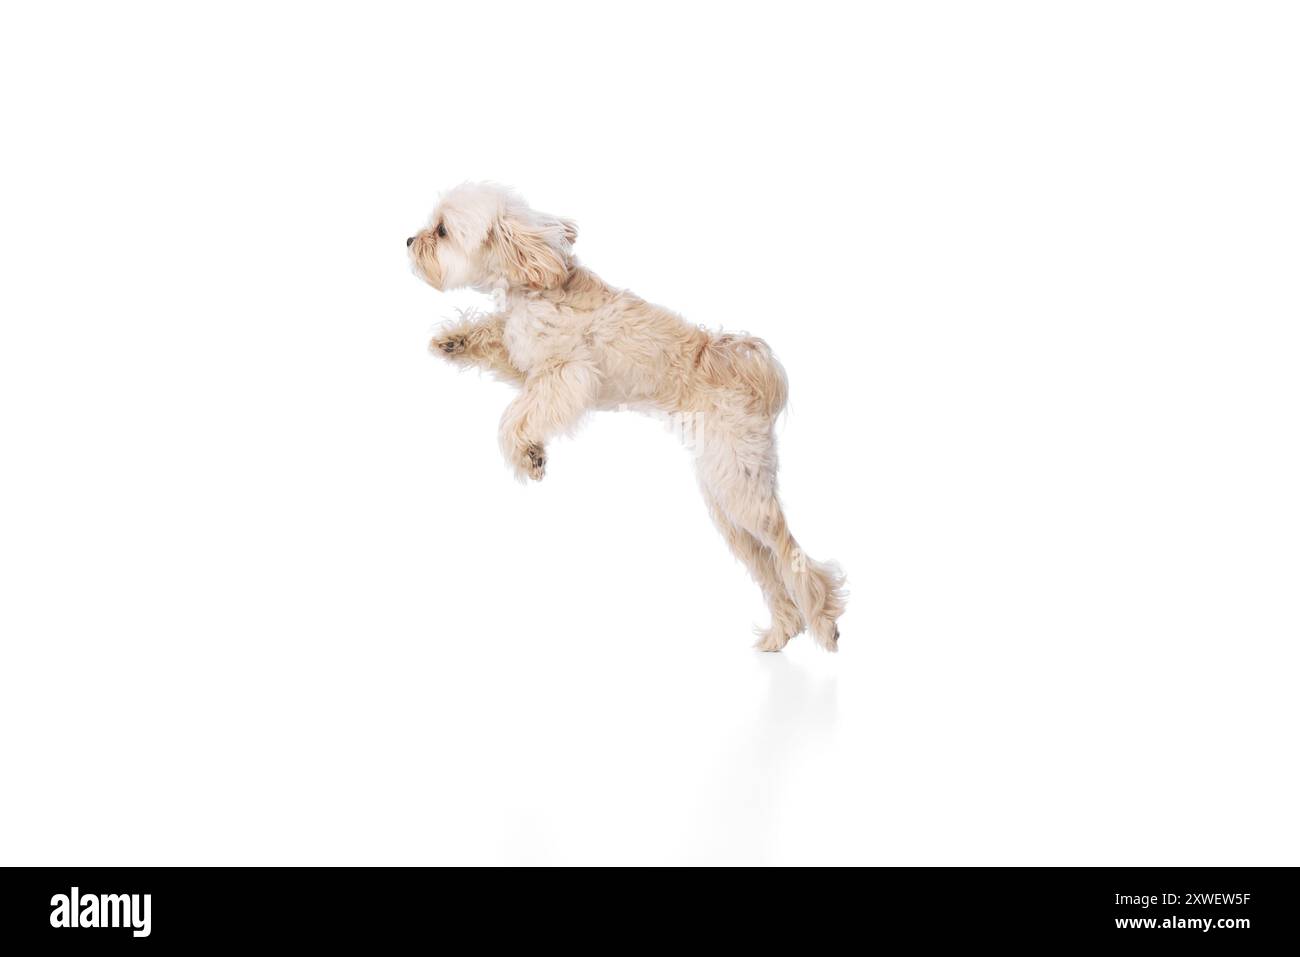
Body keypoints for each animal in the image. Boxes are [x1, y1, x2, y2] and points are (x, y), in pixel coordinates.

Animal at [408, 183, 852, 650]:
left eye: (441, 230)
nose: (408, 241)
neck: (536, 281)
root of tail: (747, 368)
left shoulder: (568, 374)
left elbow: (516, 415)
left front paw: (528, 454)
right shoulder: (524, 362)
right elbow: (495, 337)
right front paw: (453, 339)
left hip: (744, 497)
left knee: (791, 553)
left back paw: (825, 621)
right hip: (727, 501)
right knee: (769, 567)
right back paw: (781, 633)